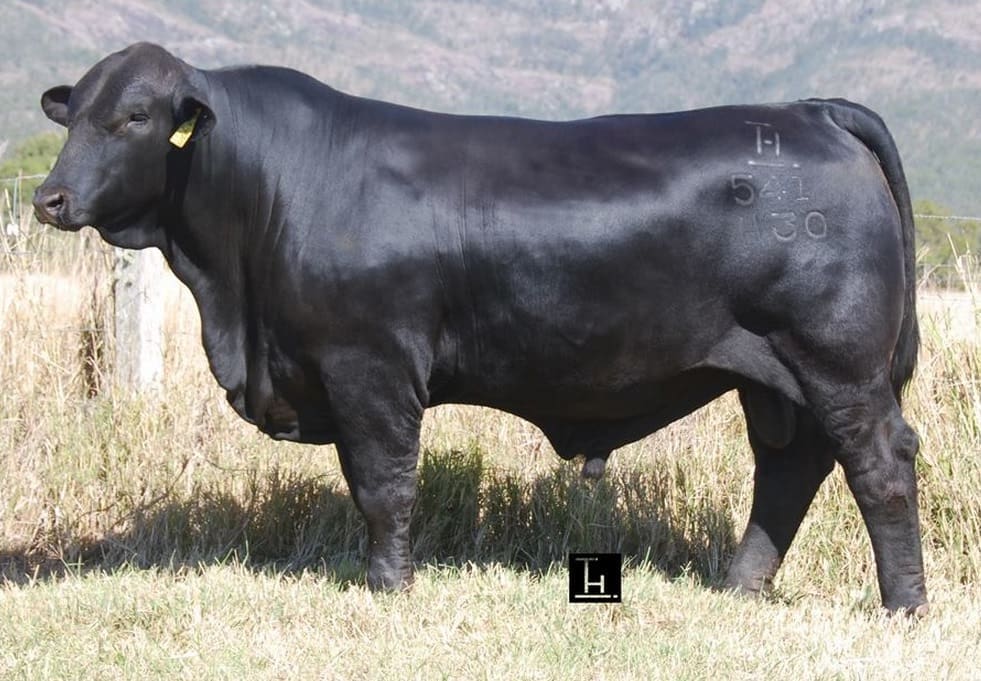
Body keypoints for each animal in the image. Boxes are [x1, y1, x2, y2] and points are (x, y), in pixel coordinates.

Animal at [33, 43, 926, 615]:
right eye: (71, 117)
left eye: (136, 117)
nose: (50, 198)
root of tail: (808, 110)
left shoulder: (369, 366)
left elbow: (383, 484)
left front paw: (388, 586)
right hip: (771, 375)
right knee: (788, 468)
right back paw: (740, 586)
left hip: (837, 361)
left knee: (878, 466)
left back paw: (903, 604)